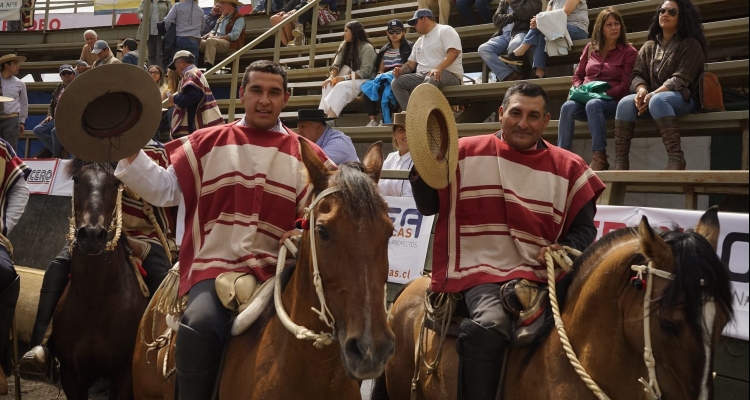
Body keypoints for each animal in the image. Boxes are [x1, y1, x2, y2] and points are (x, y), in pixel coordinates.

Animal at [53, 160, 150, 400]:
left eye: (116, 182)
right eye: (76, 179)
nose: (91, 235)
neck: (93, 300)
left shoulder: (126, 377)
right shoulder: (71, 376)